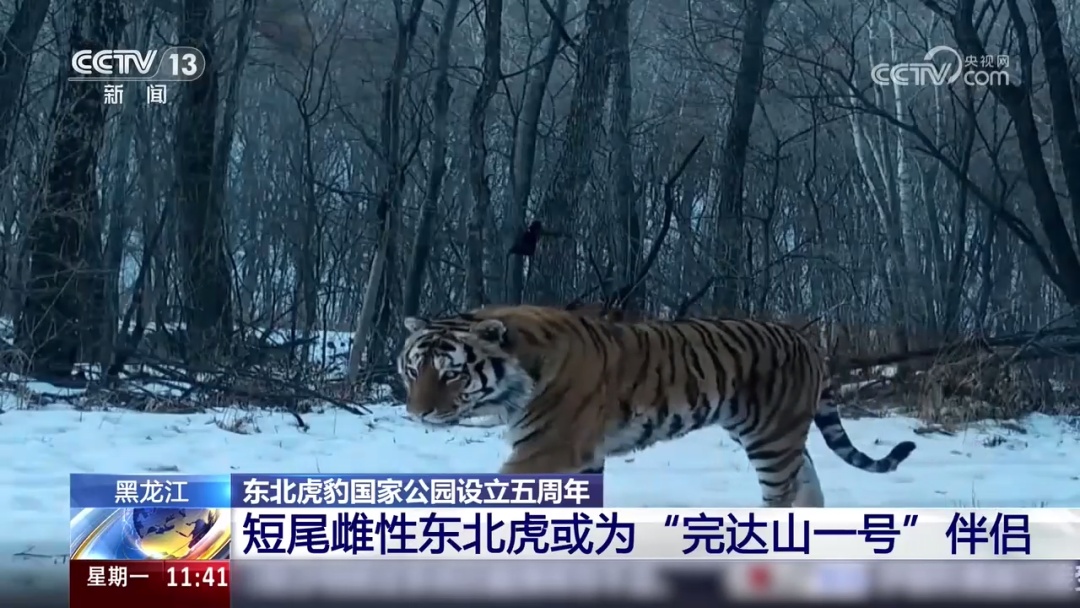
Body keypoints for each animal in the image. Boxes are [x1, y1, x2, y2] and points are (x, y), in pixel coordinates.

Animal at [397, 305, 916, 507]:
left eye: (452, 373)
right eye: (413, 370)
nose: (416, 415)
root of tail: (806, 339)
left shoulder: (545, 450)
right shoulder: (583, 456)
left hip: (771, 439)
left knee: (782, 494)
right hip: (780, 434)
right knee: (808, 487)